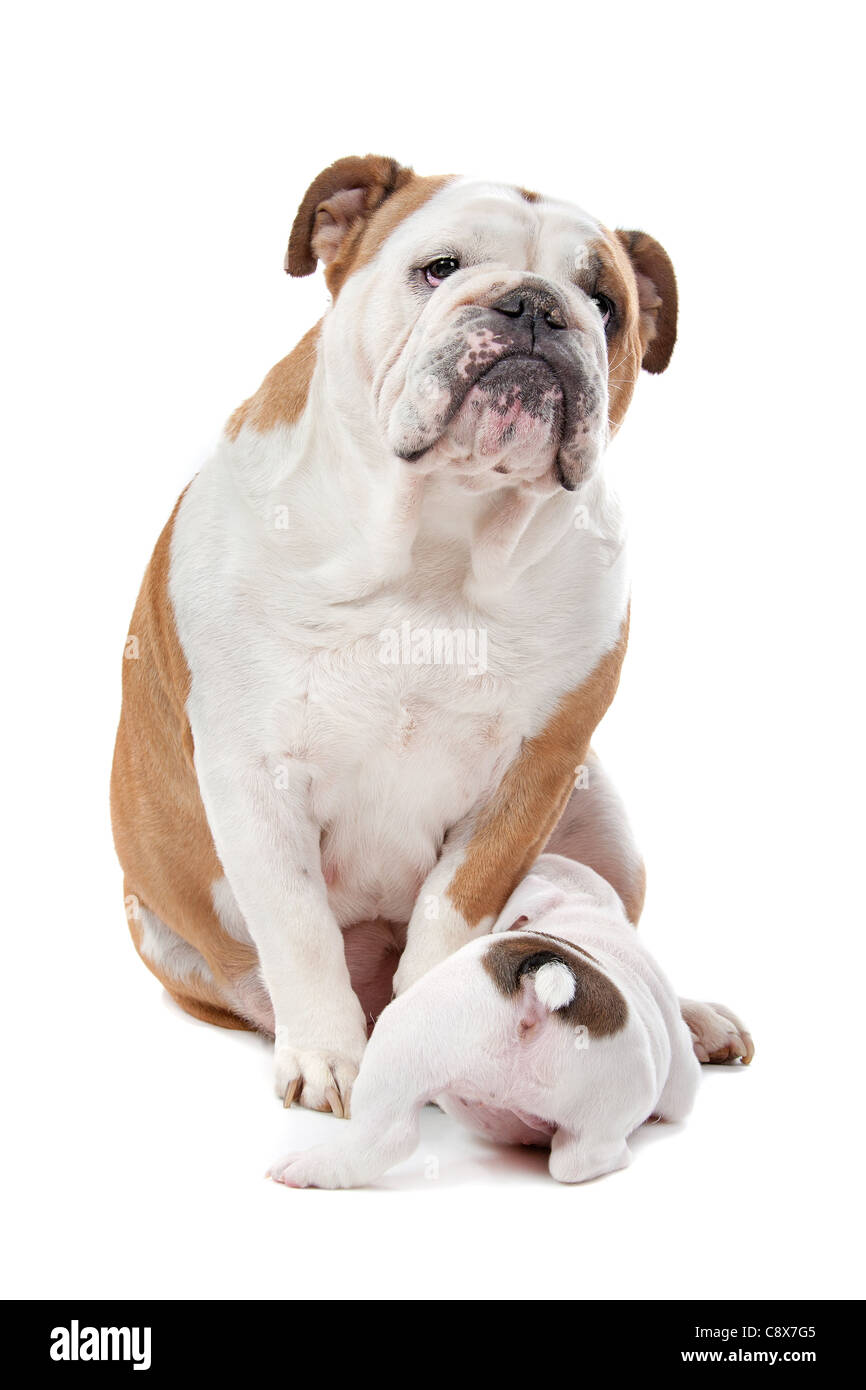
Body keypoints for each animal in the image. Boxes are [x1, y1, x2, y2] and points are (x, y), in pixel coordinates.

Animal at [269, 850, 711, 1189]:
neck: (582, 911)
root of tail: (536, 982)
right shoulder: (681, 1076)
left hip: (405, 1043)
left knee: (382, 1137)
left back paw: (310, 1167)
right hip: (616, 1094)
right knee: (578, 1160)